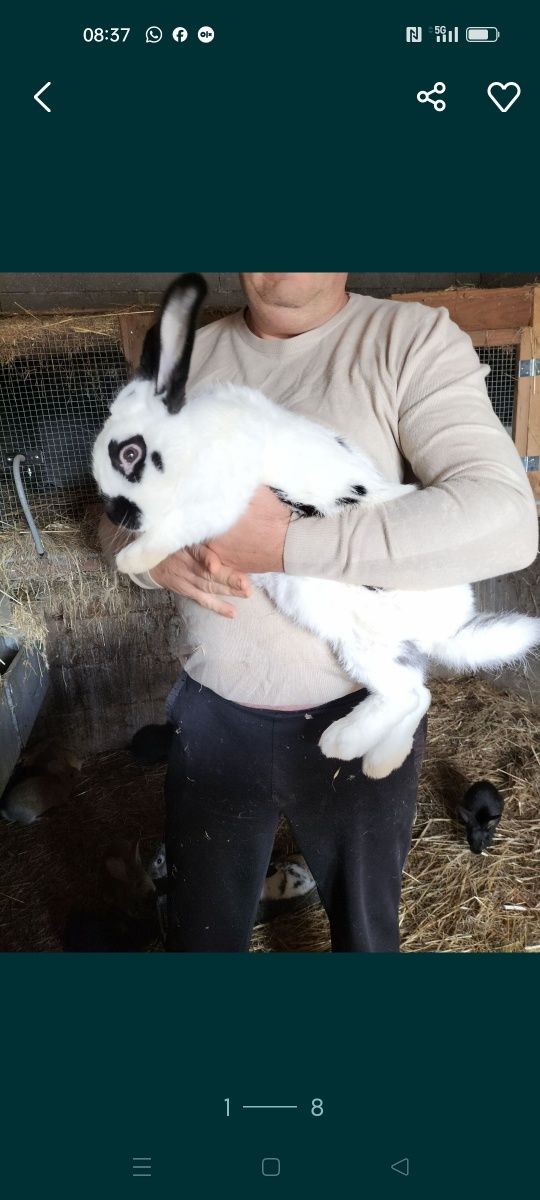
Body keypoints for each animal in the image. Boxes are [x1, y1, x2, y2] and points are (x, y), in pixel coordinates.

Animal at [91, 274, 540, 777]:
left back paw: (341, 745)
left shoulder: (223, 501)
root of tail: (445, 627)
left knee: (404, 693)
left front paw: (132, 557)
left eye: (130, 453)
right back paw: (379, 759)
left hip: (361, 636)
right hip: (369, 645)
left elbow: (175, 527)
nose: (115, 513)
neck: (193, 439)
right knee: (415, 692)